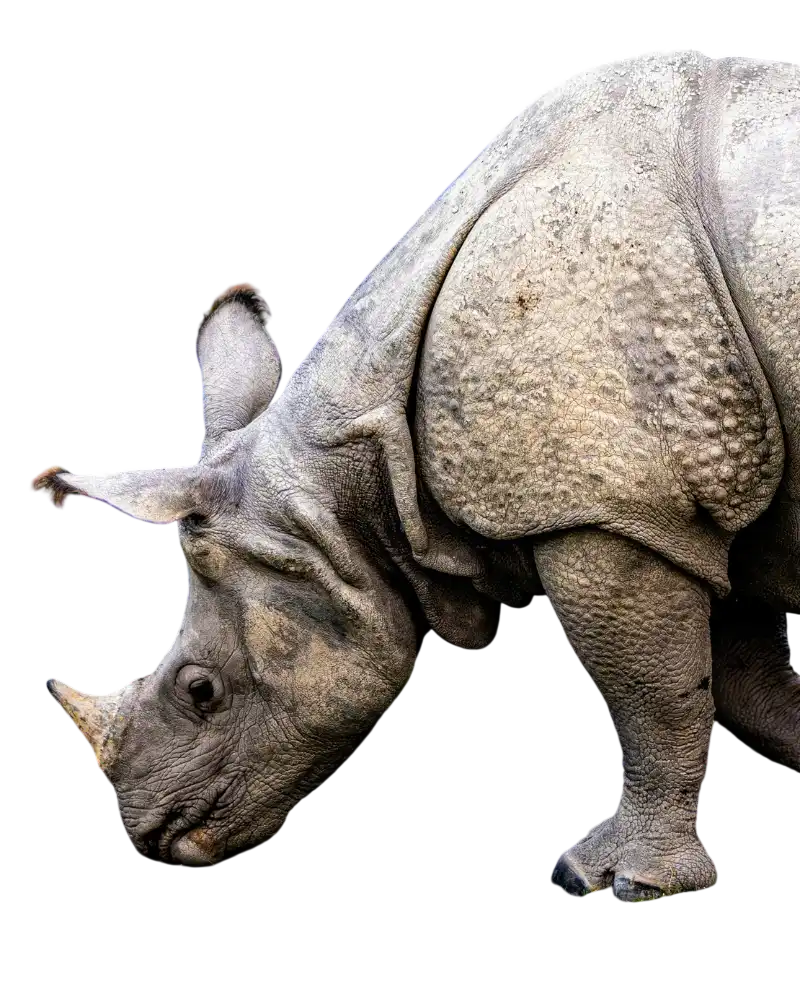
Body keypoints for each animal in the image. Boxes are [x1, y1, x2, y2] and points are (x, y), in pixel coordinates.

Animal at [33, 51, 797, 897]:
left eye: (202, 692)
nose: (150, 839)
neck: (347, 471)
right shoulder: (686, 504)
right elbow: (737, 682)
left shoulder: (612, 504)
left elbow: (652, 697)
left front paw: (638, 884)